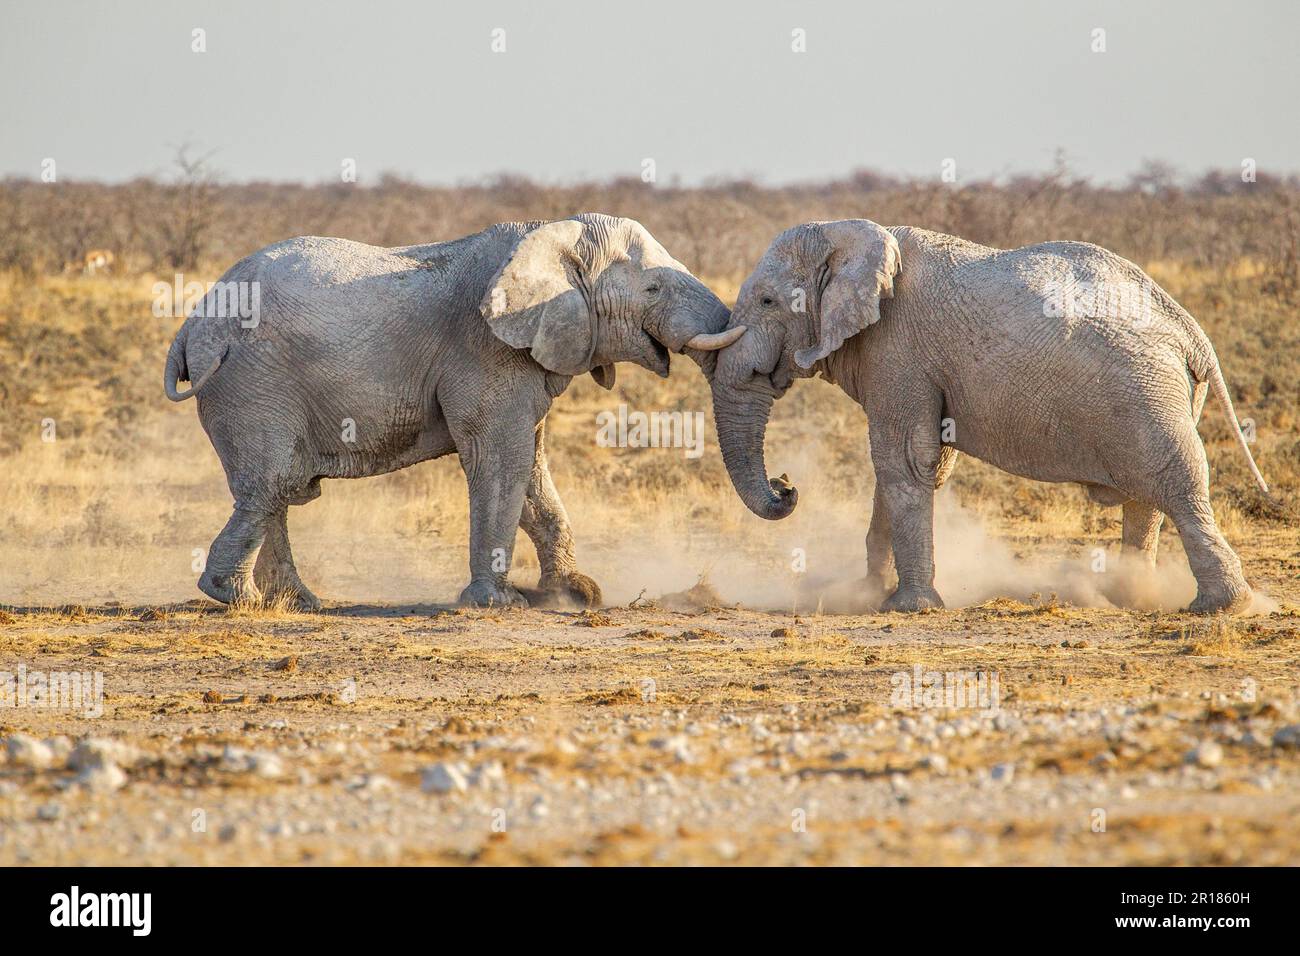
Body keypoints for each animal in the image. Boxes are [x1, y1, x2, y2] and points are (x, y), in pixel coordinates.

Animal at [159, 213, 743, 608]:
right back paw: (237, 597)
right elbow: (501, 461)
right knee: (274, 483)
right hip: (252, 384)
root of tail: (189, 329)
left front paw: (577, 595)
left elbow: (531, 467)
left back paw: (296, 603)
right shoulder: (484, 350)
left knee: (275, 492)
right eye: (653, 287)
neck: (548, 234)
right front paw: (498, 604)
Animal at [712, 221, 1268, 616]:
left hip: (1149, 393)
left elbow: (904, 462)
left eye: (767, 301)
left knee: (1179, 484)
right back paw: (1131, 596)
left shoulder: (900, 351)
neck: (852, 236)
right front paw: (868, 594)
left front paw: (908, 607)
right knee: (1146, 498)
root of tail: (1193, 333)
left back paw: (1221, 608)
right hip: (1161, 395)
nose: (786, 486)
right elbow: (917, 466)